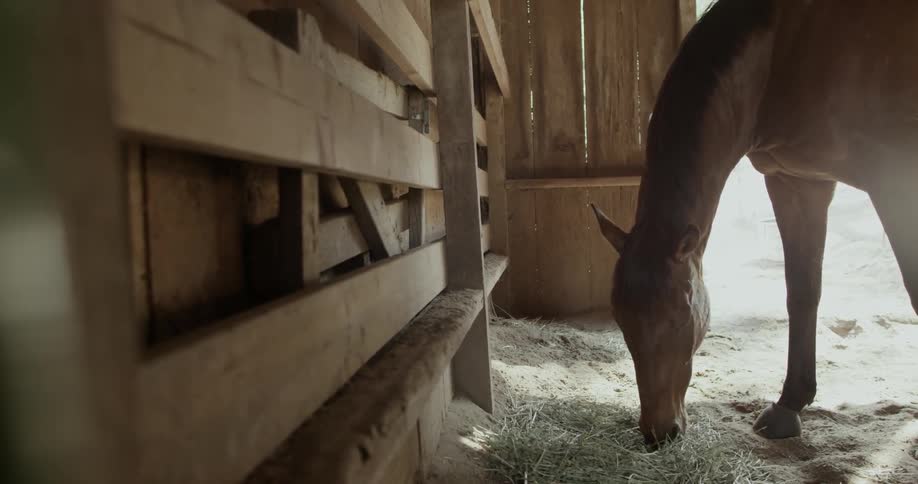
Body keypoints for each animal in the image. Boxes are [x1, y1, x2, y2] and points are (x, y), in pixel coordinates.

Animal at [590, 0, 918, 444]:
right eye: (621, 320)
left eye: (680, 317)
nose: (660, 432)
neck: (784, 52)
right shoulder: (795, 181)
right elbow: (802, 292)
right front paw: (789, 405)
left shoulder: (895, 182)